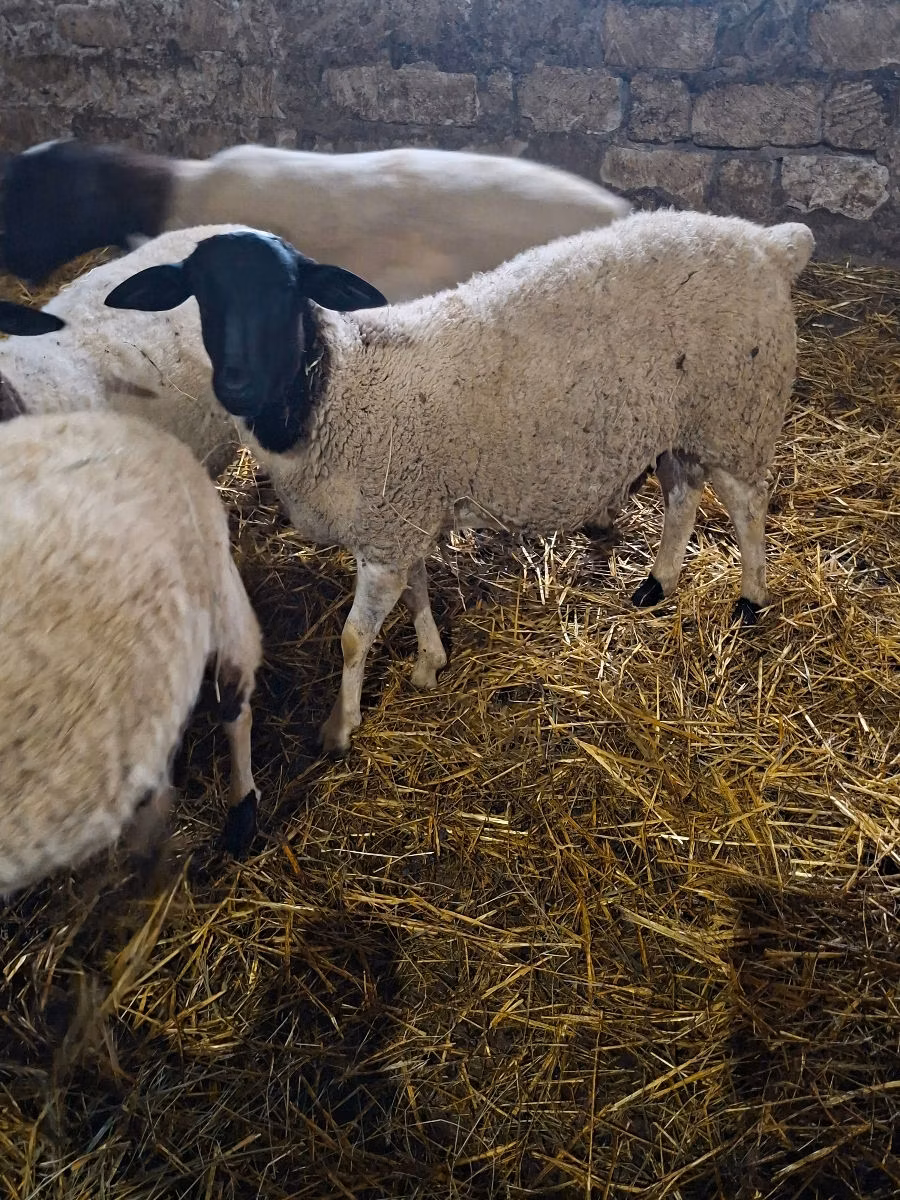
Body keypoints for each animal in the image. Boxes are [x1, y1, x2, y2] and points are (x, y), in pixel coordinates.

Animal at [105, 211, 815, 757]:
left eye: (285, 291)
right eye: (201, 293)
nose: (236, 385)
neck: (331, 391)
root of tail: (770, 243)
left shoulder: (388, 527)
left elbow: (354, 637)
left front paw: (339, 729)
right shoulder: (403, 515)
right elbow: (419, 590)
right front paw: (429, 663)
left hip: (736, 410)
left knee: (747, 503)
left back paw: (751, 598)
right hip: (680, 423)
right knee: (682, 494)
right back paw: (657, 582)